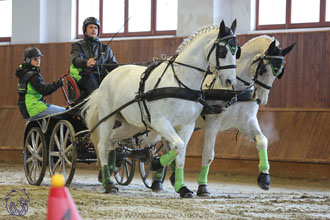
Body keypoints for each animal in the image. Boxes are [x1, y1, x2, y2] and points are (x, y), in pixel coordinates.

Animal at [83, 19, 240, 198]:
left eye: (237, 51)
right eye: (223, 50)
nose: (229, 81)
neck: (180, 81)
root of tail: (109, 76)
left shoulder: (187, 125)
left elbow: (181, 153)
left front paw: (182, 187)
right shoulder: (160, 122)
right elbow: (178, 146)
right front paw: (156, 164)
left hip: (130, 125)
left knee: (113, 140)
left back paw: (111, 170)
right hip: (107, 118)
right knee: (102, 145)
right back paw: (108, 184)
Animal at [191, 36, 296, 196]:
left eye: (279, 73)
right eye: (264, 69)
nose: (261, 99)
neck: (234, 90)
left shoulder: (247, 122)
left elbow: (262, 140)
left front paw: (264, 177)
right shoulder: (212, 124)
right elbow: (208, 154)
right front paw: (203, 187)